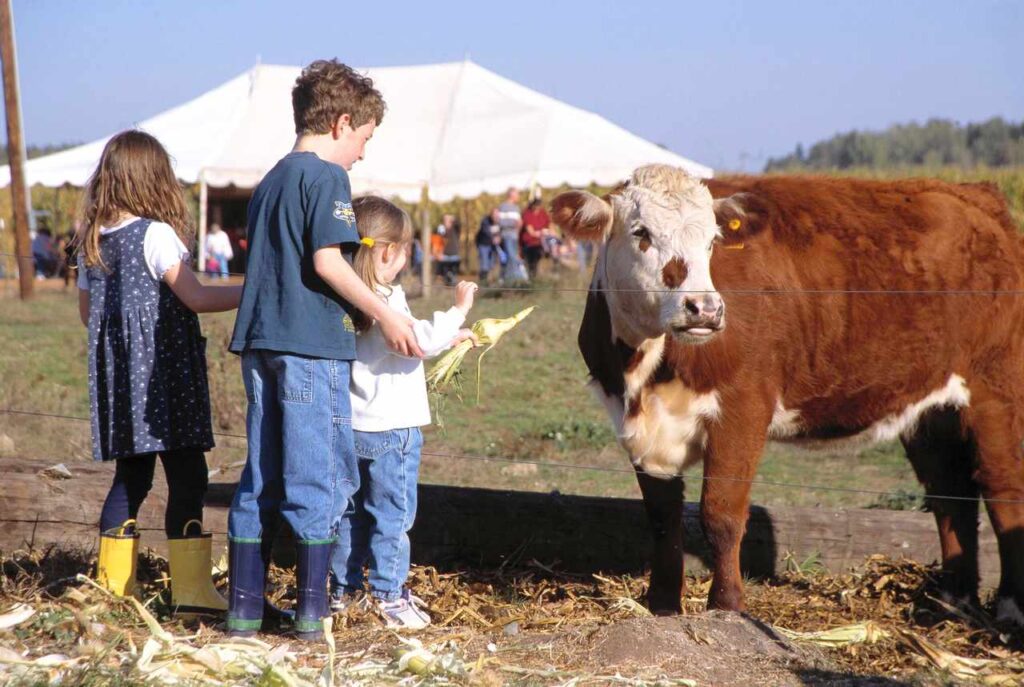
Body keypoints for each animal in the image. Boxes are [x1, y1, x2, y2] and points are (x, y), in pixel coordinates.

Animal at [552, 164, 1024, 622]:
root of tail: (982, 199)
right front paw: (663, 607)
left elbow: (721, 514)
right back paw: (951, 603)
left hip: (997, 392)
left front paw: (726, 608)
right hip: (930, 410)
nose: (705, 308)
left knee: (1004, 489)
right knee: (950, 492)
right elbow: (663, 518)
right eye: (641, 233)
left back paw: (1009, 609)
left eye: (712, 241)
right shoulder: (636, 424)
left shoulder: (742, 408)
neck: (646, 366)